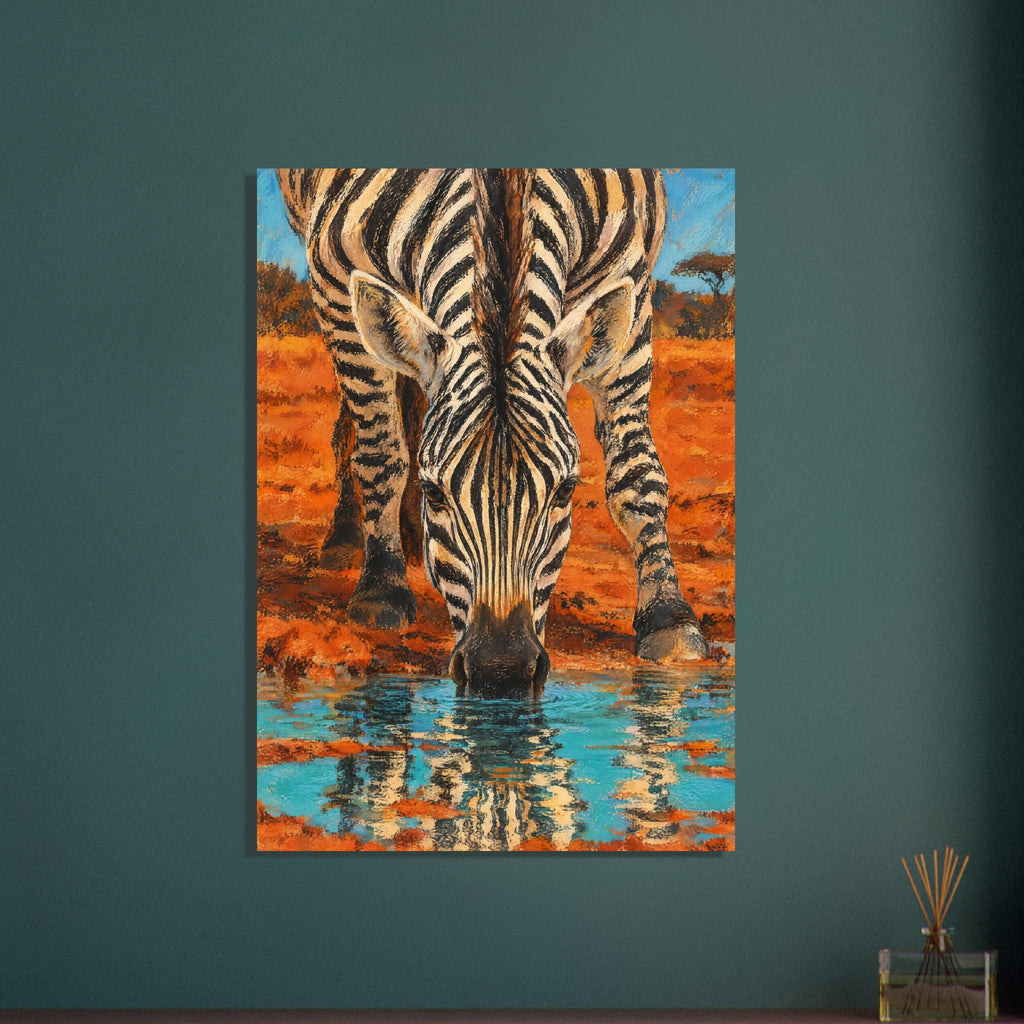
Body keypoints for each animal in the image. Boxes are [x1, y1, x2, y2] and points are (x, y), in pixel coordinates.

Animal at [275, 168, 709, 696]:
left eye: (566, 491)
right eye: (433, 492)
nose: (500, 672)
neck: (503, 188)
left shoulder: (631, 279)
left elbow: (636, 475)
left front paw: (669, 618)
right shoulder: (334, 278)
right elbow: (381, 453)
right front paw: (382, 588)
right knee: (359, 429)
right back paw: (346, 539)